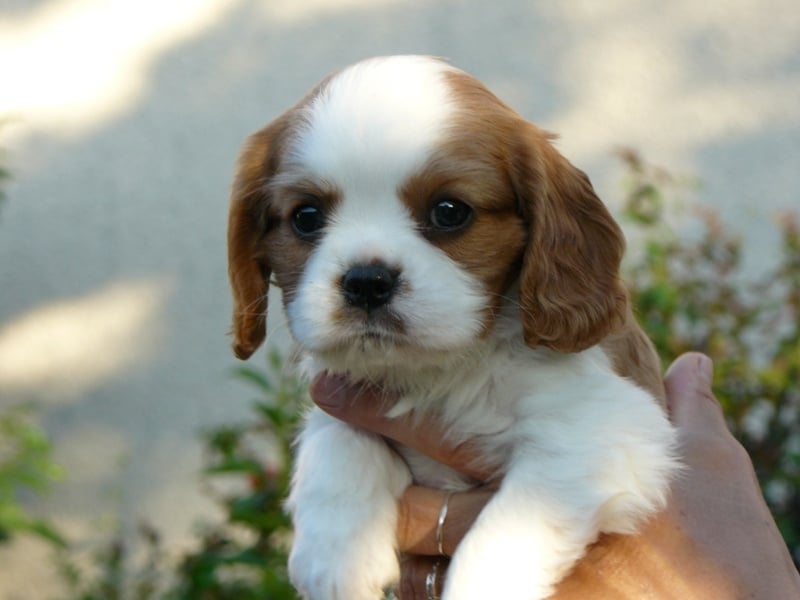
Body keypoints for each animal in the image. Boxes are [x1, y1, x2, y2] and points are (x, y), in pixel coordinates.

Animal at [228, 56, 680, 600]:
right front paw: (335, 555)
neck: (442, 370)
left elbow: (511, 525)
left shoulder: (608, 425)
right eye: (306, 217)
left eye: (449, 212)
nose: (366, 281)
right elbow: (335, 436)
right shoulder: (344, 394)